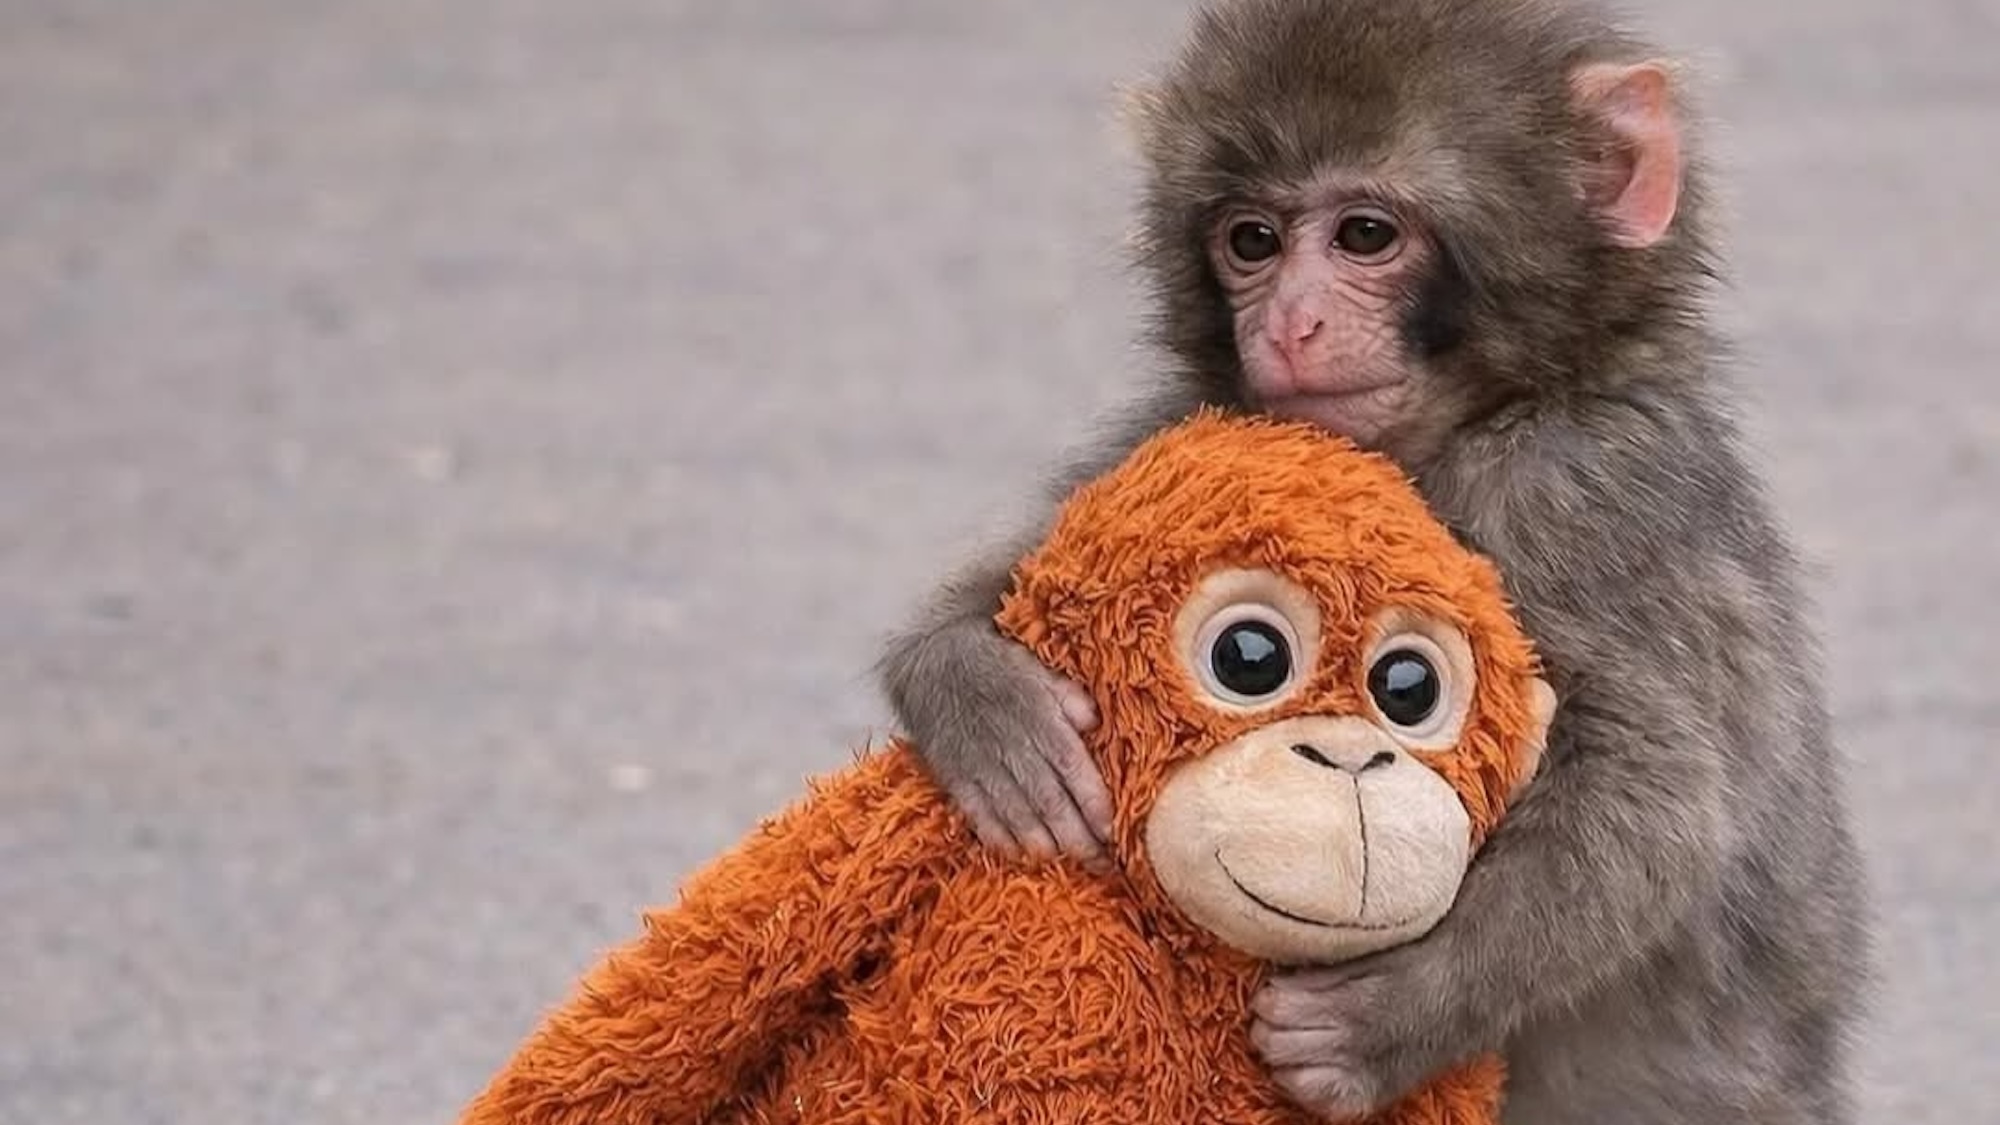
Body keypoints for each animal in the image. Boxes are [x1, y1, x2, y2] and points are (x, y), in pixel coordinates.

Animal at [875, 1, 1872, 1122]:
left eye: (1364, 234)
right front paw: (982, 701)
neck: (1461, 426)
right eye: (1251, 241)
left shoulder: (1579, 493)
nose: (1288, 323)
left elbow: (1657, 797)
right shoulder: (1202, 427)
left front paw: (1382, 1021)